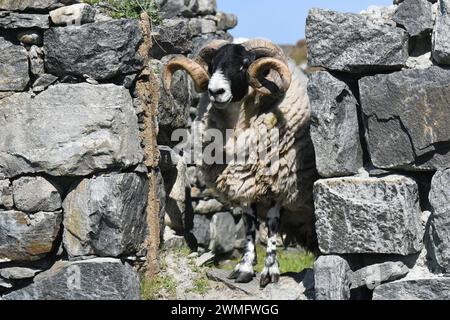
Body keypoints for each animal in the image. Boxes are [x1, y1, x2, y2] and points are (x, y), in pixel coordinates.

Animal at [163, 38, 316, 286]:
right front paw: (244, 267)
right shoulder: (244, 182)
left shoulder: (280, 185)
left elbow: (272, 224)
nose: (215, 91)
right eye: (212, 65)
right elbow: (249, 224)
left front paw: (270, 271)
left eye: (244, 64)